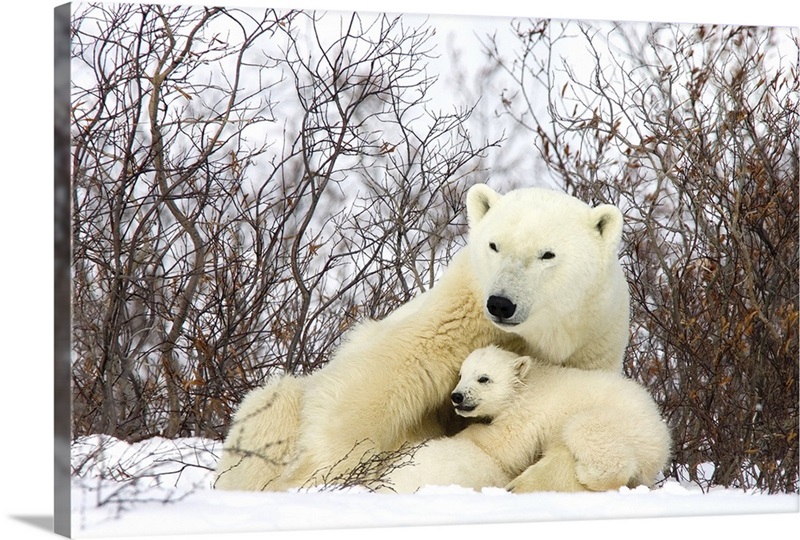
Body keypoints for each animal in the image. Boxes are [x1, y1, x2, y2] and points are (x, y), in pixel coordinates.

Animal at [212, 184, 632, 492]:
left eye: (547, 254)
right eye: (494, 245)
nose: (500, 303)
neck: (536, 333)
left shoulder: (591, 341)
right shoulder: (457, 311)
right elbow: (375, 380)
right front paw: (319, 475)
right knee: (273, 402)